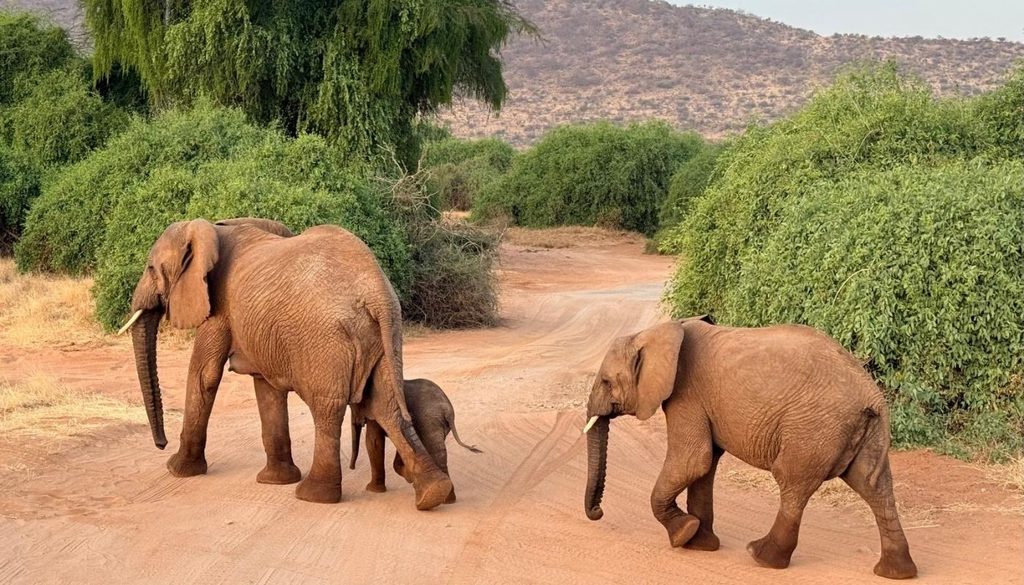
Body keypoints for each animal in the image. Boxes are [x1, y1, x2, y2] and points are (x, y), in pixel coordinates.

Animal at [119, 217, 453, 510]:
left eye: (151, 268)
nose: (161, 444)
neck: (212, 227)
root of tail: (377, 293)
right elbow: (266, 388)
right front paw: (275, 480)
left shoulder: (219, 307)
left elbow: (205, 375)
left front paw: (177, 470)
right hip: (385, 338)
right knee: (388, 406)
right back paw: (432, 494)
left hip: (326, 340)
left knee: (327, 407)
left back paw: (313, 496)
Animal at [349, 378, 482, 503]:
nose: (352, 467)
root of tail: (448, 411)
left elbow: (374, 441)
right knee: (439, 452)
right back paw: (448, 500)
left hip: (430, 421)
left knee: (435, 450)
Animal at [582, 316, 917, 579]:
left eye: (606, 381)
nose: (598, 512)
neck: (657, 332)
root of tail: (871, 395)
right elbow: (705, 466)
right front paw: (701, 544)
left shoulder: (686, 395)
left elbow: (693, 460)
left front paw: (683, 535)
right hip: (863, 432)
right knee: (874, 487)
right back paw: (896, 573)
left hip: (814, 427)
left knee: (793, 483)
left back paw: (761, 556)